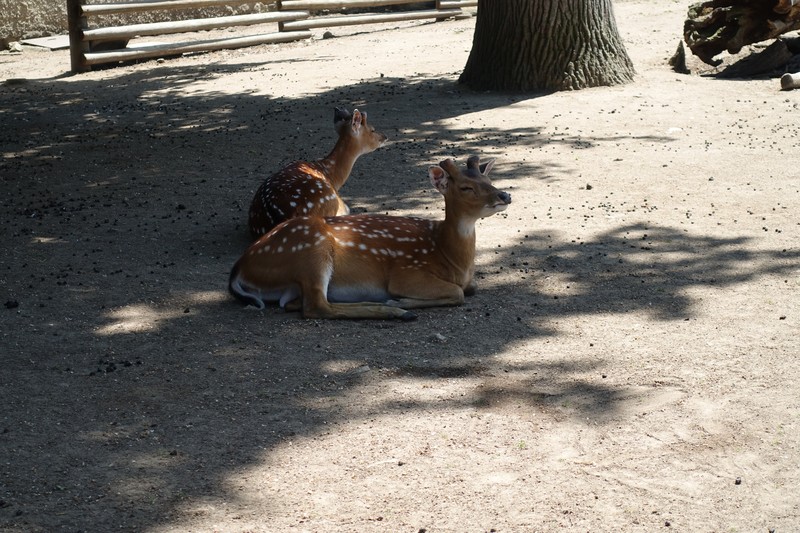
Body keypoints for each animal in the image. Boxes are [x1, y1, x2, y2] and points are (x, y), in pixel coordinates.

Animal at [229, 156, 511, 320]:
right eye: (466, 187)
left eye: (488, 179)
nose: (505, 195)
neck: (450, 257)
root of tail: (238, 269)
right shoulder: (407, 272)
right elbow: (458, 293)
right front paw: (402, 300)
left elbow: (470, 288)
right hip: (311, 251)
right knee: (316, 307)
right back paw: (396, 310)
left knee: (295, 304)